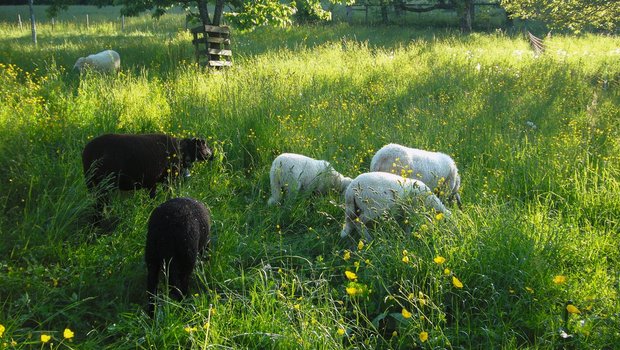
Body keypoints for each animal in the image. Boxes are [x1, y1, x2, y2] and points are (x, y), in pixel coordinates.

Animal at [82, 133, 213, 219]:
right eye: (204, 144)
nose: (212, 155)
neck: (181, 151)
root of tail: (87, 152)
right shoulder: (166, 180)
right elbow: (165, 195)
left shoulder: (152, 182)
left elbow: (152, 197)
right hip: (103, 184)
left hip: (92, 184)